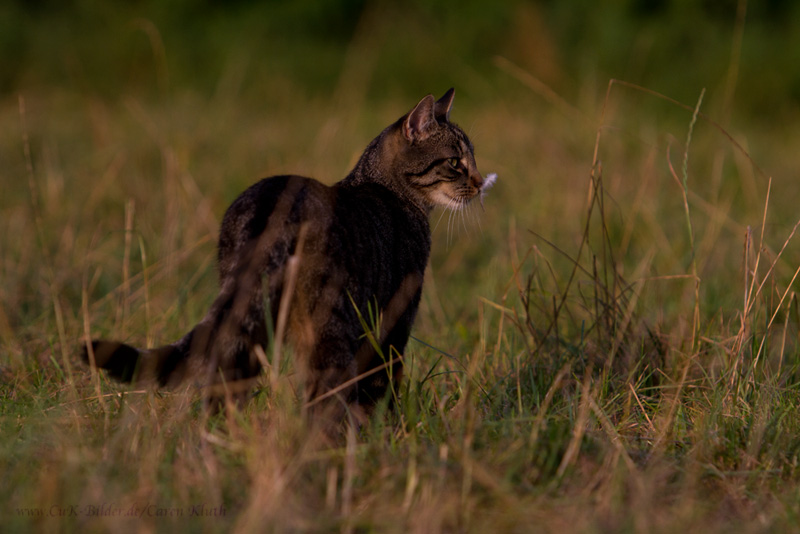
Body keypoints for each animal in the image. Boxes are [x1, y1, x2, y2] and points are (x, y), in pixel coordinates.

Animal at [84, 89, 490, 428]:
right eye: (456, 162)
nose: (480, 182)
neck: (387, 189)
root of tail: (271, 205)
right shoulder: (395, 320)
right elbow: (381, 387)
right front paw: (387, 435)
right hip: (329, 328)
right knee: (323, 402)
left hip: (246, 329)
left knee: (222, 392)